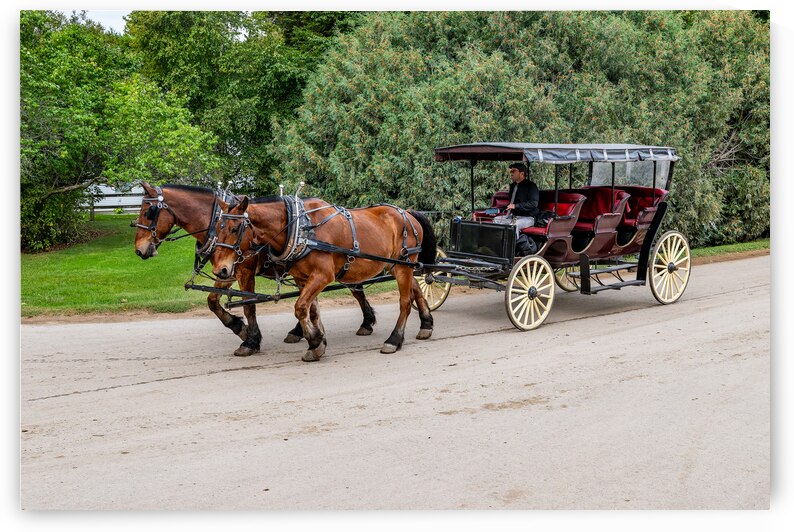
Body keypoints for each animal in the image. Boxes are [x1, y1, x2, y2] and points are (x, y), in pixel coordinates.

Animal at [131, 182, 378, 356]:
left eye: (148, 212)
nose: (139, 250)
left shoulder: (245, 271)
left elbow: (249, 306)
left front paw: (250, 340)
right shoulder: (227, 269)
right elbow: (212, 301)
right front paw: (238, 327)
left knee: (355, 289)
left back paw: (365, 322)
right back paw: (301, 331)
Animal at [208, 194, 437, 362]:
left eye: (235, 229)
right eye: (217, 228)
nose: (220, 270)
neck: (301, 229)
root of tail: (407, 213)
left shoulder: (322, 275)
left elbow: (300, 307)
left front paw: (315, 340)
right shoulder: (303, 278)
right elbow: (312, 311)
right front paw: (317, 342)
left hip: (403, 264)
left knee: (405, 301)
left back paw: (394, 339)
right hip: (395, 265)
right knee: (416, 289)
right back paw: (426, 325)